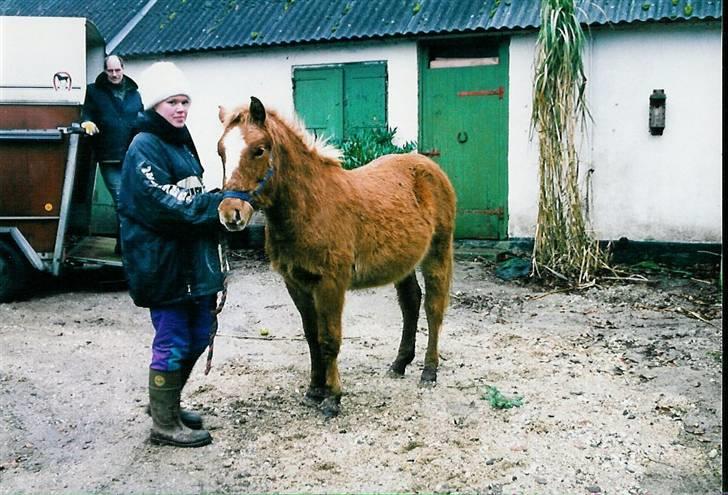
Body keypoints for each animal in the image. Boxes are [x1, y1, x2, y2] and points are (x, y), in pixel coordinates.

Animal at [218, 97, 456, 418]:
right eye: (221, 150)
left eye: (259, 149)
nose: (231, 214)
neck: (311, 207)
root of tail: (429, 166)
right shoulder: (296, 283)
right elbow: (311, 337)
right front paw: (314, 390)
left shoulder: (331, 282)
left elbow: (329, 339)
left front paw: (333, 398)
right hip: (403, 262)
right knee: (410, 303)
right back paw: (399, 363)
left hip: (438, 251)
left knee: (433, 306)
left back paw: (429, 371)